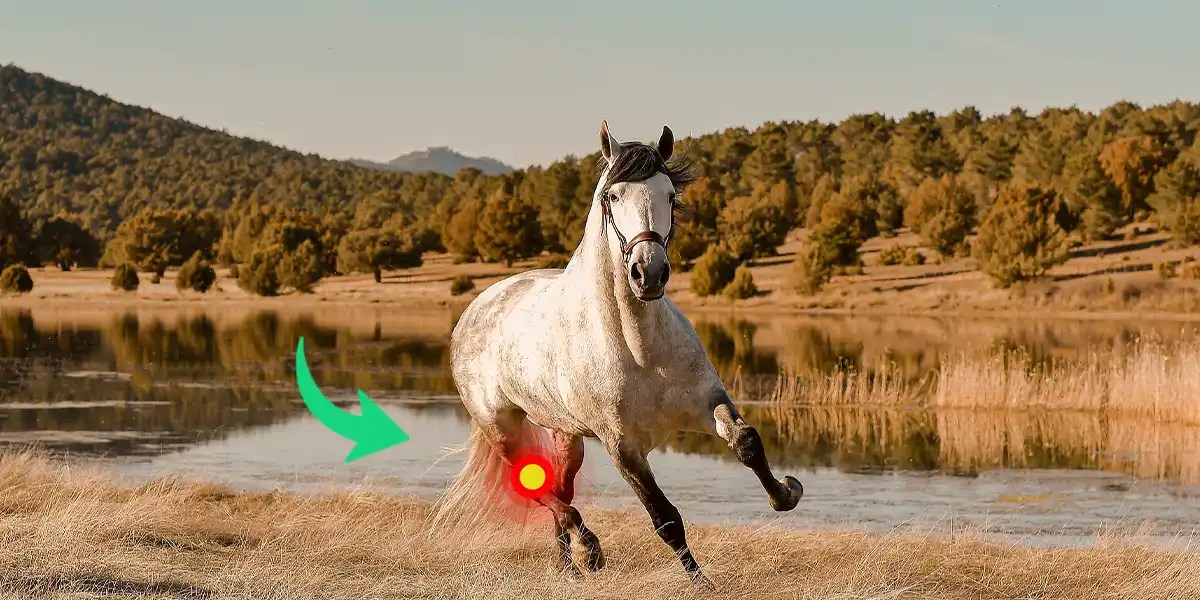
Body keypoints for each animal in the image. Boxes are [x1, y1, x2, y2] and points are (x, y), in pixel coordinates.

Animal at [436, 120, 804, 584]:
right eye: (612, 196)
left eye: (670, 194)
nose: (649, 273)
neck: (638, 348)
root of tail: (476, 308)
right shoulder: (622, 446)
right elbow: (665, 519)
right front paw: (701, 583)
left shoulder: (706, 402)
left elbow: (747, 442)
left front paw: (786, 493)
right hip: (502, 428)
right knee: (536, 487)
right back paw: (588, 549)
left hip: (567, 436)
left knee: (557, 488)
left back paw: (569, 570)